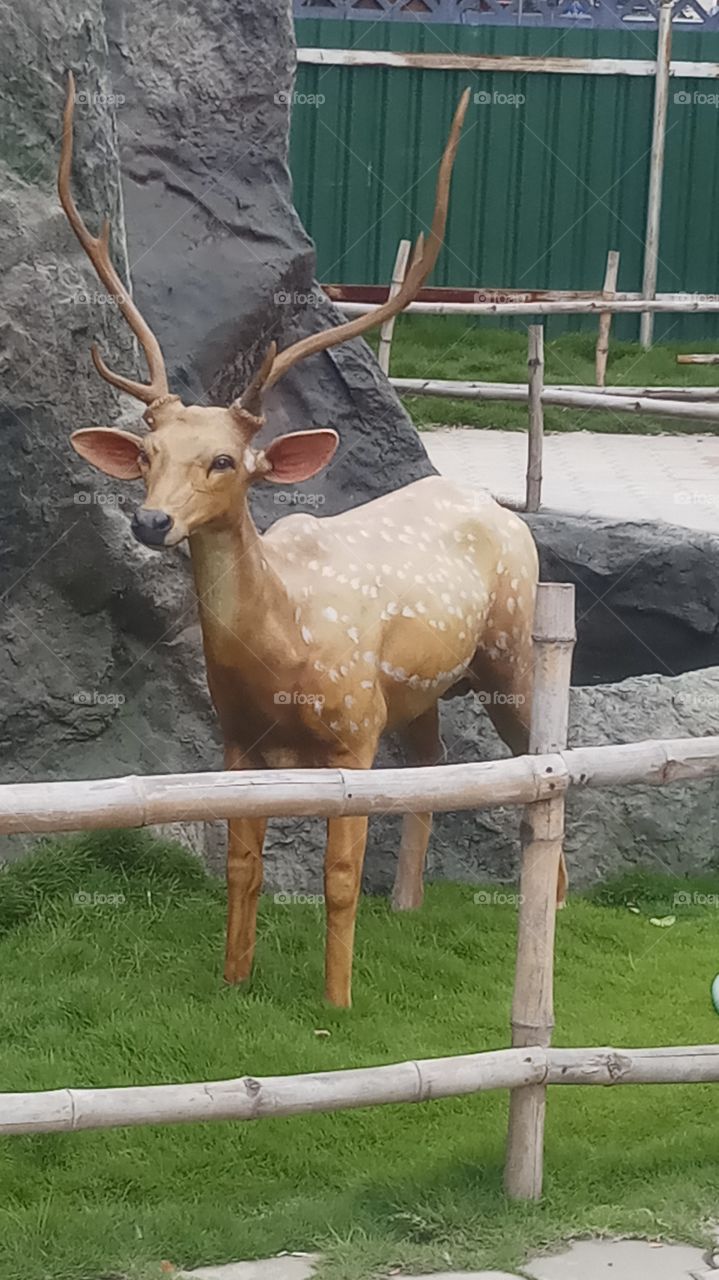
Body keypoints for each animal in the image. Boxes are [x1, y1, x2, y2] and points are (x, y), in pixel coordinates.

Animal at [58, 74, 562, 1008]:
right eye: (147, 454)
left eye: (225, 461)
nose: (151, 521)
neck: (284, 651)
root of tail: (500, 507)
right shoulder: (233, 740)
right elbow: (242, 866)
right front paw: (232, 980)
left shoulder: (353, 727)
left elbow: (335, 874)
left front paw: (336, 1000)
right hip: (419, 693)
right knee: (433, 766)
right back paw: (407, 905)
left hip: (510, 644)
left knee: (539, 760)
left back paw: (556, 900)